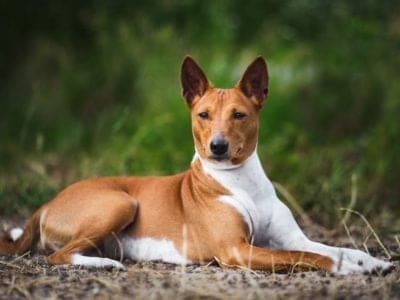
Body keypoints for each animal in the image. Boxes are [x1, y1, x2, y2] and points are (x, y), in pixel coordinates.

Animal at [0, 55, 394, 274]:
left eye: (239, 115)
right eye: (203, 114)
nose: (218, 147)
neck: (240, 182)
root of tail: (48, 203)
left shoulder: (291, 237)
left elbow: (332, 248)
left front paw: (371, 261)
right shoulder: (236, 250)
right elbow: (307, 256)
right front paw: (346, 269)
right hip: (120, 202)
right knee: (59, 256)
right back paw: (107, 265)